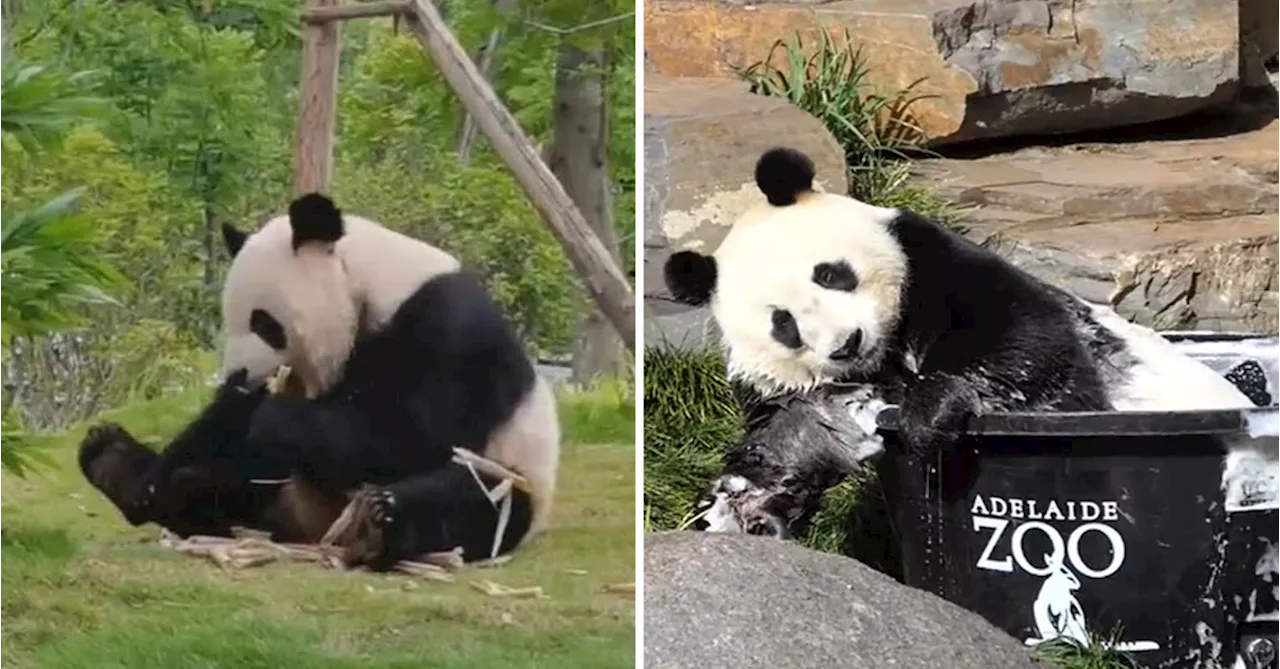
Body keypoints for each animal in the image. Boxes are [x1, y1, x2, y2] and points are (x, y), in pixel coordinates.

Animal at [78, 193, 560, 570]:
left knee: (472, 501)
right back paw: (117, 462)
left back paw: (376, 525)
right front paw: (150, 478)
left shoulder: (448, 330)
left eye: (264, 323)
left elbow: (414, 436)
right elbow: (219, 428)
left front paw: (270, 416)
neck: (371, 279)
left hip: (515, 477)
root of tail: (312, 530)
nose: (237, 374)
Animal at [670, 145, 1259, 539]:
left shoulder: (932, 263)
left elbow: (1025, 345)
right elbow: (794, 433)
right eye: (785, 324)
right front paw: (747, 502)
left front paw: (930, 413)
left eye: (831, 274)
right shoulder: (792, 391)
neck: (884, 360)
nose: (846, 343)